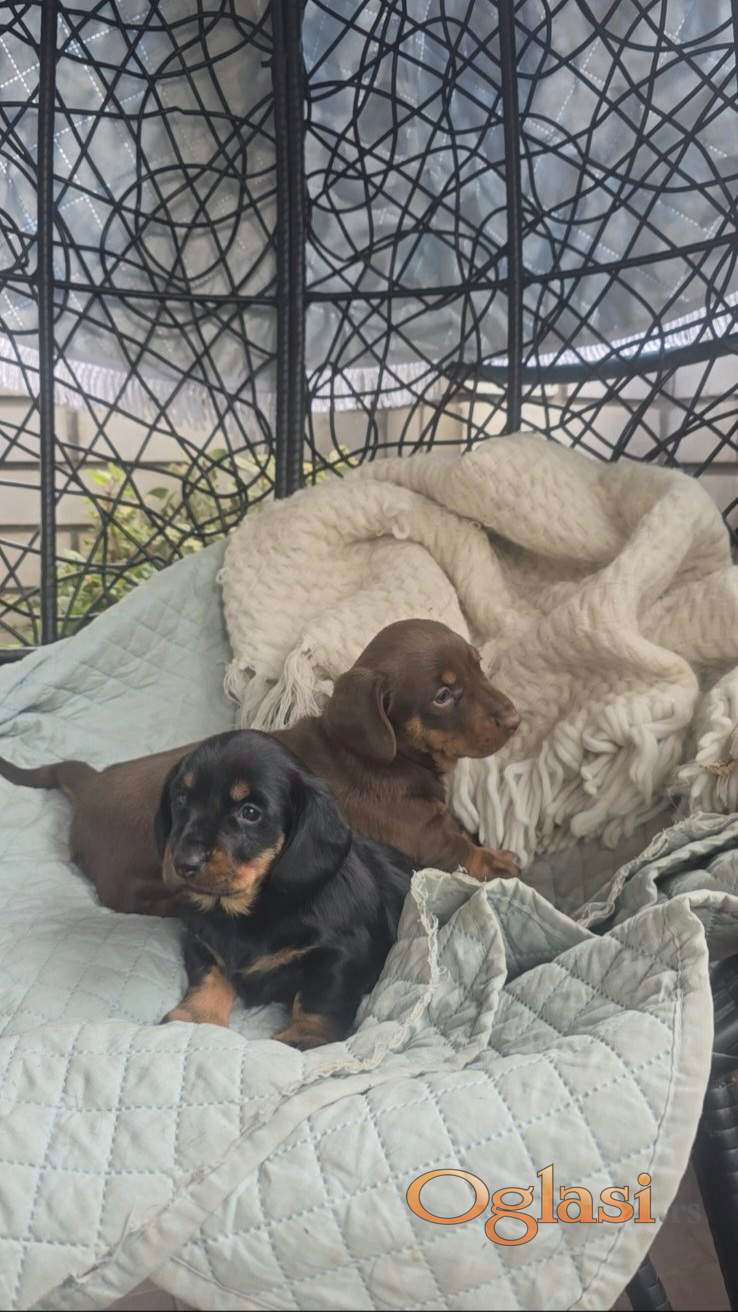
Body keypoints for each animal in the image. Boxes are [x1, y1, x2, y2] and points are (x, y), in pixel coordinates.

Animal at [0, 618, 520, 914]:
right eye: (443, 694)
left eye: (478, 667)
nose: (516, 720)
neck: (386, 756)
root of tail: (90, 787)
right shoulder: (423, 836)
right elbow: (461, 850)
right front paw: (501, 862)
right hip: (140, 873)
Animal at [156, 730, 412, 1047]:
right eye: (181, 798)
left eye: (250, 812)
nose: (183, 863)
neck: (248, 909)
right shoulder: (200, 940)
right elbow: (208, 976)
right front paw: (197, 1016)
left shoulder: (342, 954)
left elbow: (319, 997)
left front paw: (305, 1035)